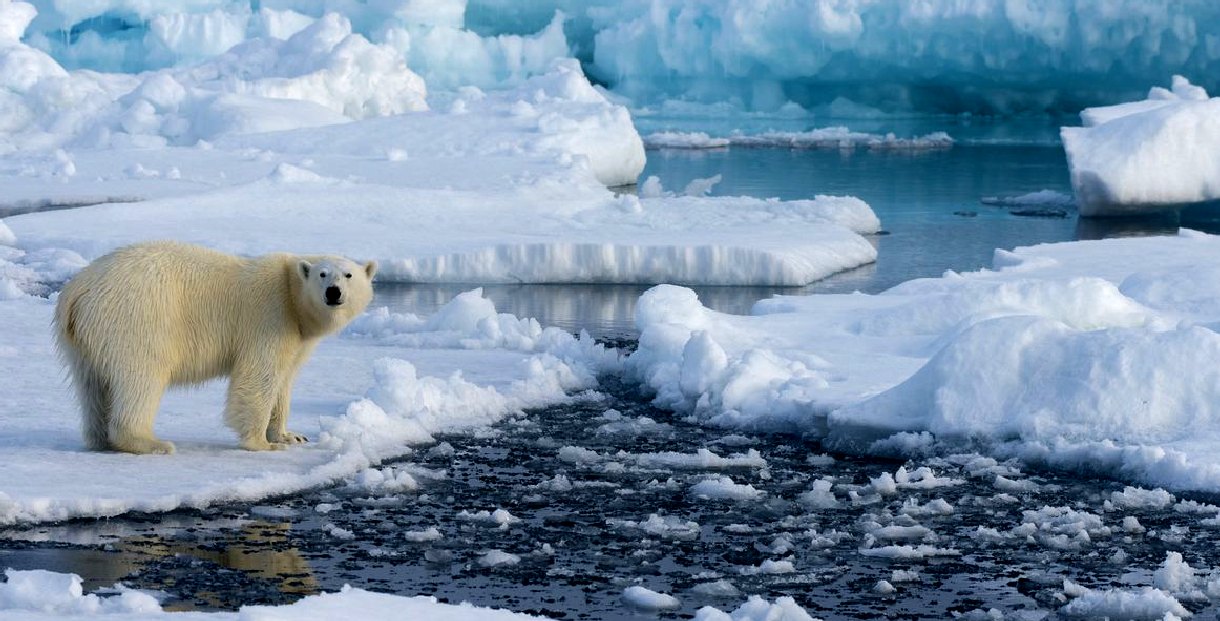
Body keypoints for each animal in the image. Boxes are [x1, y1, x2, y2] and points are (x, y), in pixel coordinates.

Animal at [54, 239, 375, 453]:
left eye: (349, 275)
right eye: (323, 274)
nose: (333, 292)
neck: (291, 294)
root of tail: (77, 290)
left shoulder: (297, 336)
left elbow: (284, 380)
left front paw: (289, 435)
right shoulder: (269, 317)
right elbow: (258, 377)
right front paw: (262, 443)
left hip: (84, 340)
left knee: (92, 385)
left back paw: (99, 439)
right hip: (137, 318)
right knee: (142, 376)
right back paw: (150, 442)